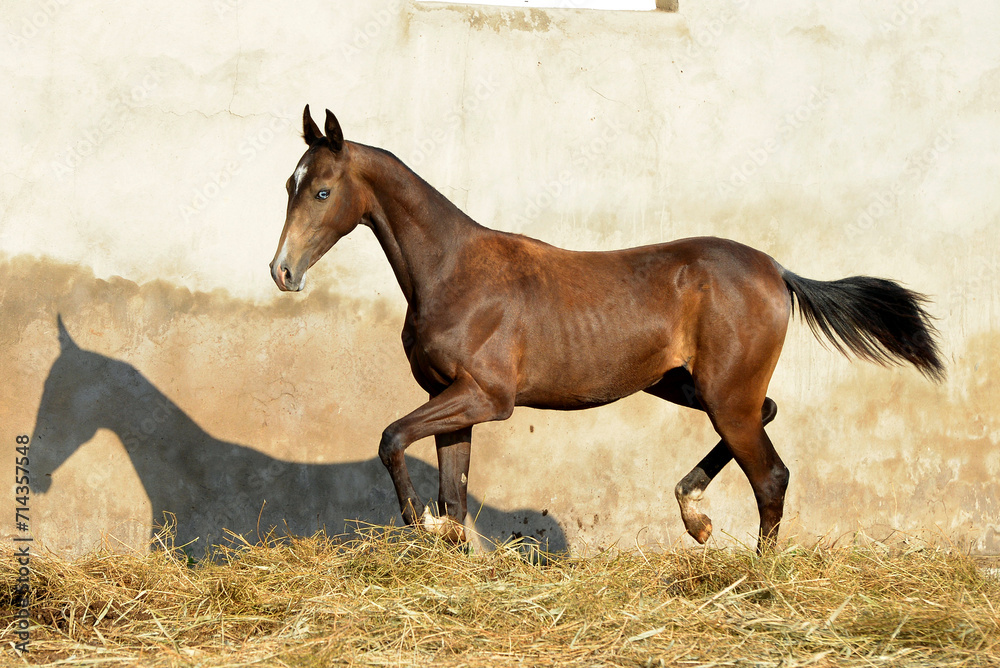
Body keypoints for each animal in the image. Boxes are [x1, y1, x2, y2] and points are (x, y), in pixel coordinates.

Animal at [270, 106, 944, 553]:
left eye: (322, 190)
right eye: (288, 185)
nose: (283, 271)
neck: (453, 271)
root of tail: (776, 270)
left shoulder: (486, 398)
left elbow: (392, 440)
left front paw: (417, 524)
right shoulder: (449, 398)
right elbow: (453, 495)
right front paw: (452, 546)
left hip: (724, 395)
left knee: (772, 477)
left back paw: (757, 574)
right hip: (688, 385)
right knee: (770, 415)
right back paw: (695, 513)